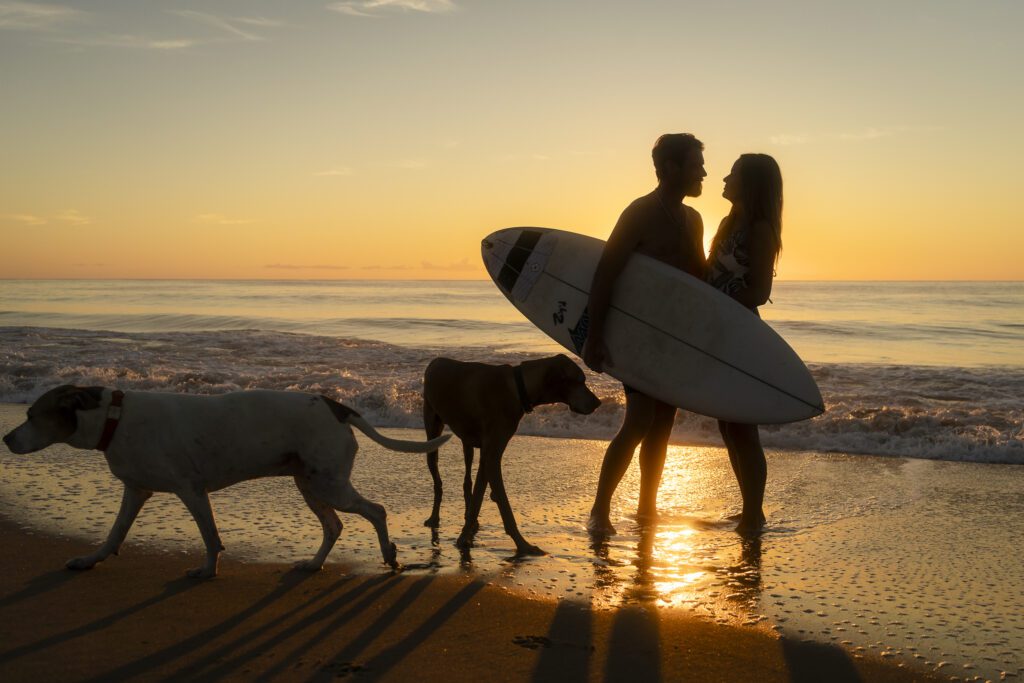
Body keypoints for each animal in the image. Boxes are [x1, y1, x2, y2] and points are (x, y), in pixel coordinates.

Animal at [4, 385, 450, 577]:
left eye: (31, 416)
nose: (6, 439)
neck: (114, 419)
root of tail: (336, 405)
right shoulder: (137, 491)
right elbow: (114, 533)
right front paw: (89, 559)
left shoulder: (191, 490)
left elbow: (209, 537)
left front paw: (208, 569)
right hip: (310, 483)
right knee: (334, 525)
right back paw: (314, 563)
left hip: (329, 484)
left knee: (376, 510)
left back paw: (389, 553)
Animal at [423, 356, 598, 557]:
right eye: (579, 381)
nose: (598, 403)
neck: (518, 387)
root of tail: (435, 361)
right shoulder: (492, 455)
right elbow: (504, 506)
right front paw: (523, 545)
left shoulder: (488, 454)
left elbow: (478, 498)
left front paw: (465, 534)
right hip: (432, 428)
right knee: (437, 480)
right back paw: (434, 517)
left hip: (466, 441)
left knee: (467, 476)